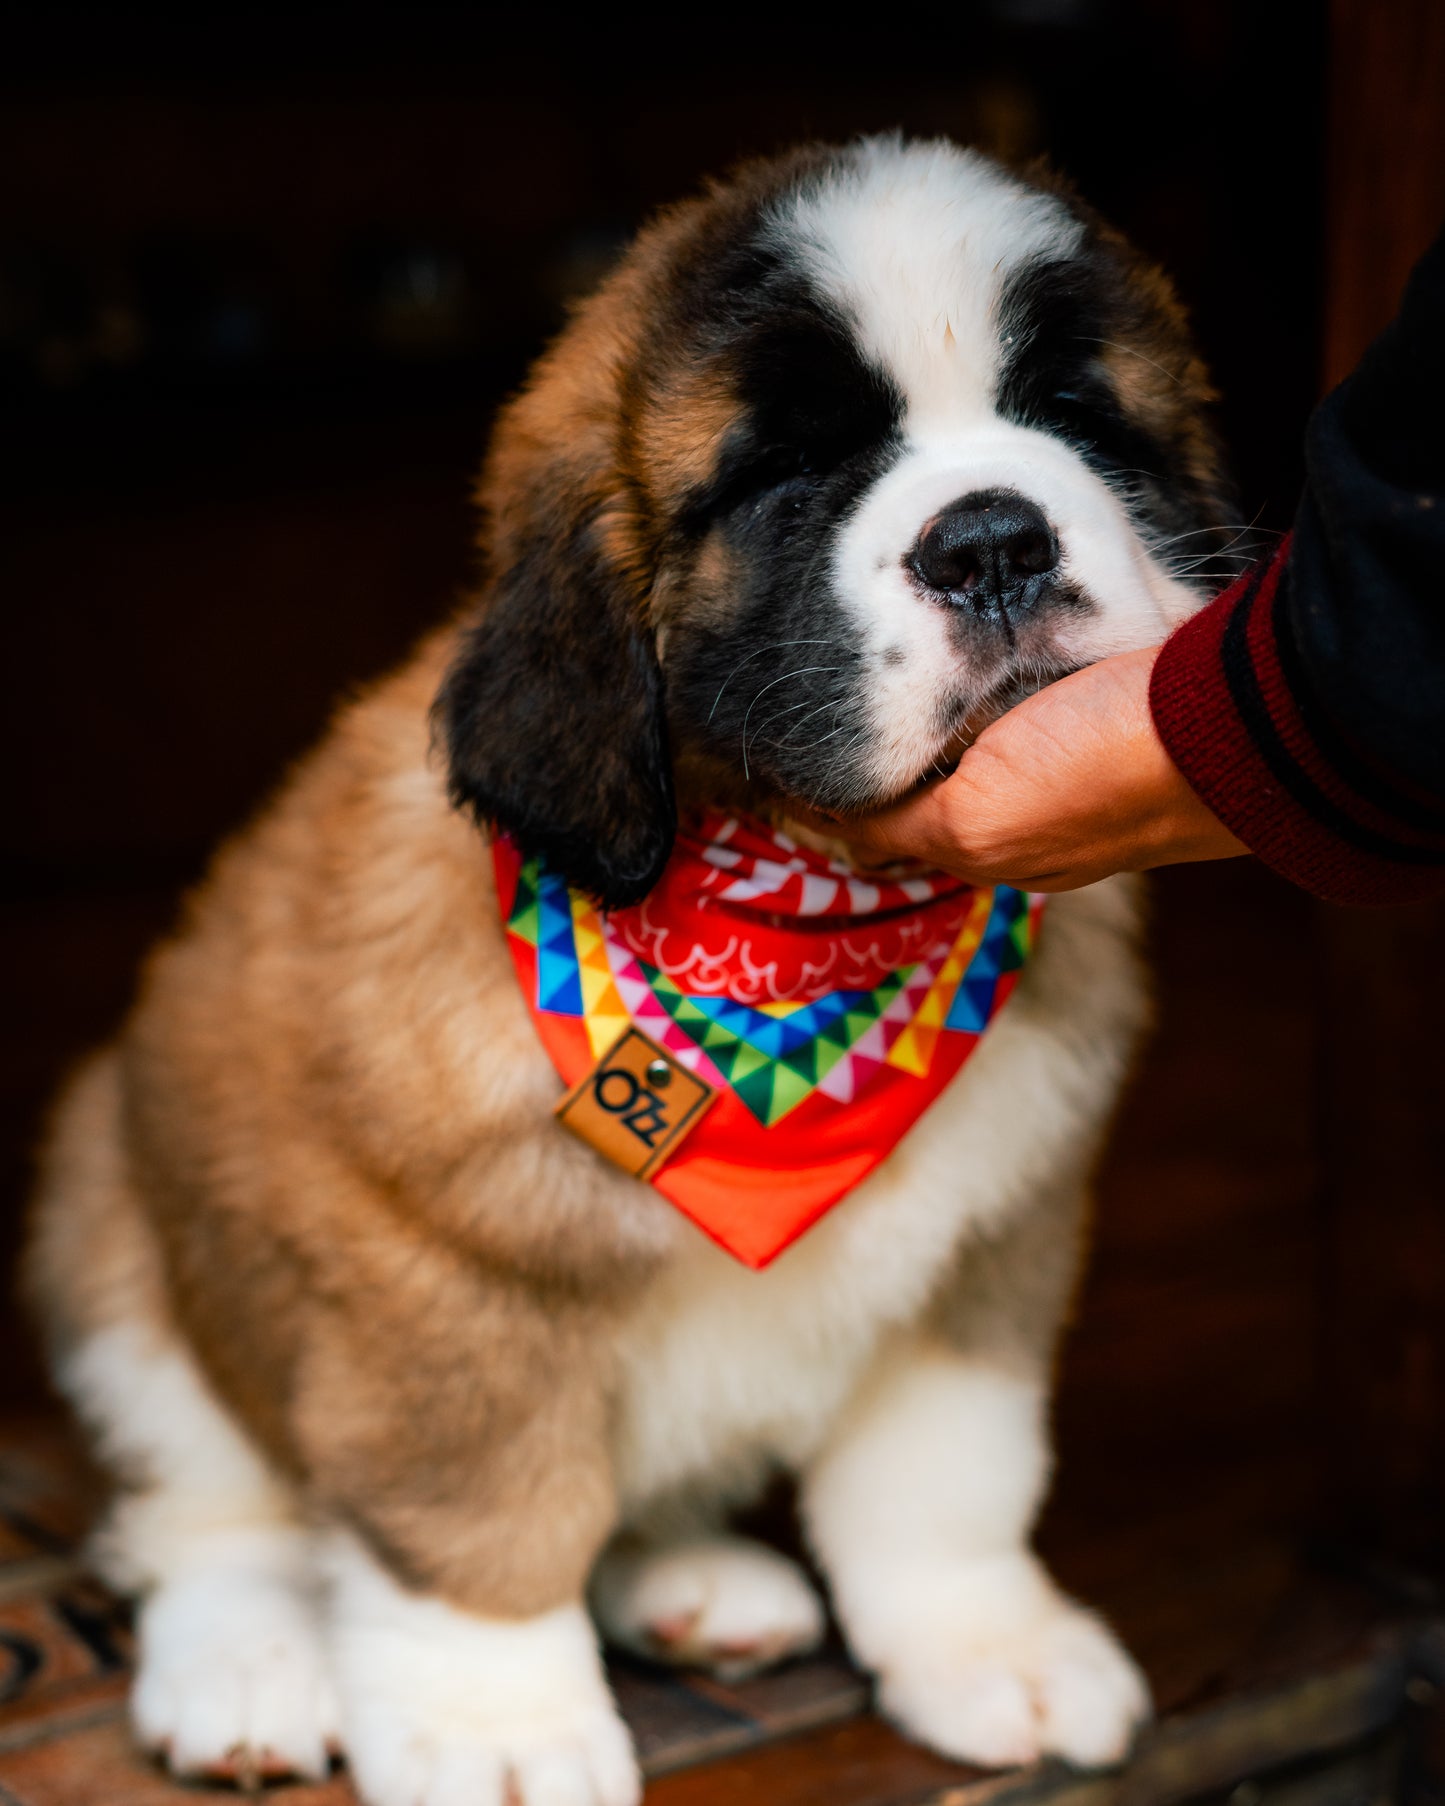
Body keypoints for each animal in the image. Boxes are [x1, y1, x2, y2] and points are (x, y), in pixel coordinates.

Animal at [25, 140, 1228, 1806]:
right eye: (784, 478)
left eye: (1075, 417)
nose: (992, 540)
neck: (800, 931)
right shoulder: (438, 1270)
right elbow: (480, 1521)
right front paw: (497, 1726)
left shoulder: (990, 1236)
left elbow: (946, 1477)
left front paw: (988, 1641)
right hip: (122, 1221)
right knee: (211, 1508)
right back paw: (252, 1664)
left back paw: (687, 1580)